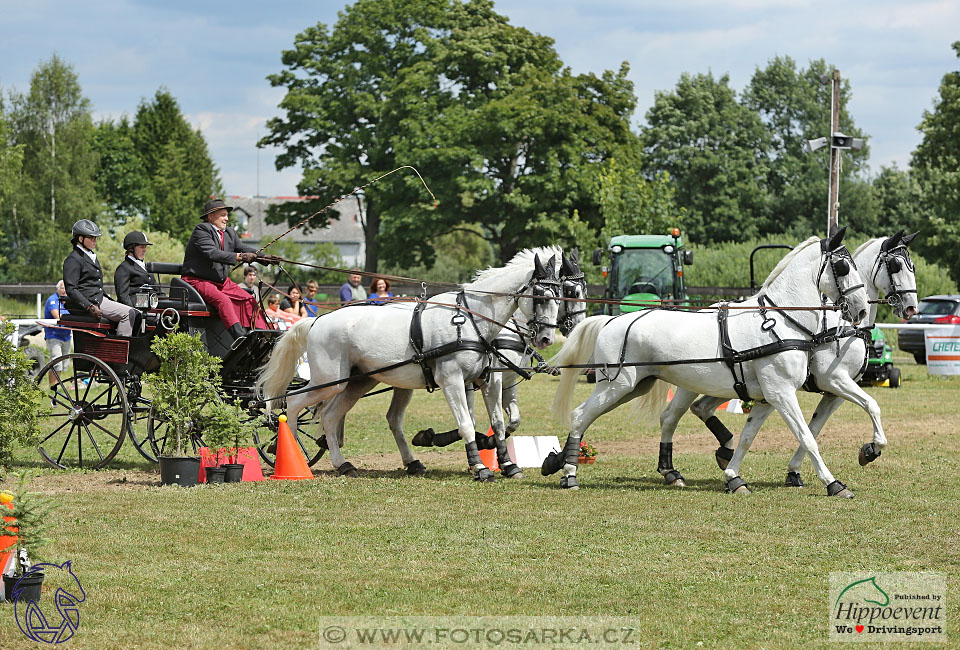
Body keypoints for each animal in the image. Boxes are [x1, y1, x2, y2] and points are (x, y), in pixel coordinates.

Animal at [258, 246, 568, 478]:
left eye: (560, 296)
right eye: (540, 296)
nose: (546, 338)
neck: (470, 319)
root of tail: (316, 320)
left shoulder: (487, 380)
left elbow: (500, 424)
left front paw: (508, 465)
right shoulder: (452, 380)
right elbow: (466, 423)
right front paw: (480, 467)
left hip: (357, 382)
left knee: (331, 416)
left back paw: (344, 464)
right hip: (329, 380)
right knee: (294, 402)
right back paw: (294, 457)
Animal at [548, 230, 872, 494]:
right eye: (843, 266)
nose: (862, 309)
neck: (781, 320)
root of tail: (610, 320)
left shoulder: (768, 396)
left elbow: (748, 436)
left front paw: (734, 477)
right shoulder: (782, 392)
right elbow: (807, 437)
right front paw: (834, 483)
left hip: (638, 386)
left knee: (661, 417)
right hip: (614, 387)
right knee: (580, 416)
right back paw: (569, 473)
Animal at [656, 230, 920, 488]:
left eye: (912, 266)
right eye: (896, 265)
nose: (911, 308)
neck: (843, 327)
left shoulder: (834, 392)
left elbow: (813, 428)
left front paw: (795, 471)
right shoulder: (835, 380)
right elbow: (871, 405)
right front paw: (870, 450)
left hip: (729, 385)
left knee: (700, 408)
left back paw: (723, 453)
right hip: (692, 382)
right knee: (671, 416)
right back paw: (672, 471)